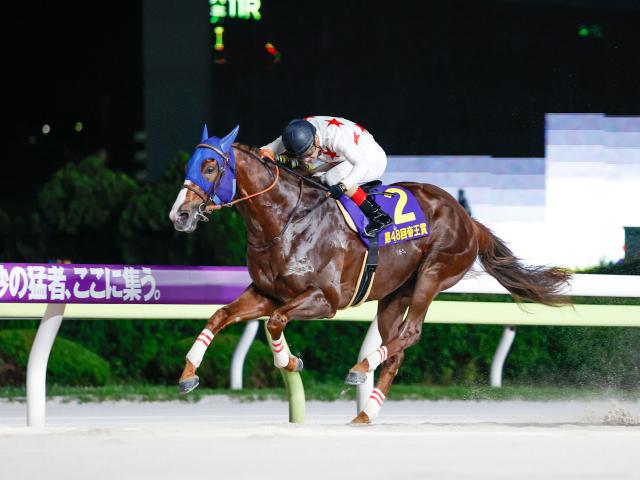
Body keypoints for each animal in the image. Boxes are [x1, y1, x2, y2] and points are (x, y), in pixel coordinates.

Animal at [169, 125, 571, 424]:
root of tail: (469, 220)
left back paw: (361, 367)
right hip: (395, 294)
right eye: (189, 164)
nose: (179, 215)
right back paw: (365, 413)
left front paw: (289, 361)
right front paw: (188, 374)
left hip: (434, 273)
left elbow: (276, 322)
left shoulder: (325, 299)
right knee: (396, 349)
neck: (286, 221)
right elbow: (221, 315)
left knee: (410, 333)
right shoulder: (267, 293)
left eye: (209, 167)